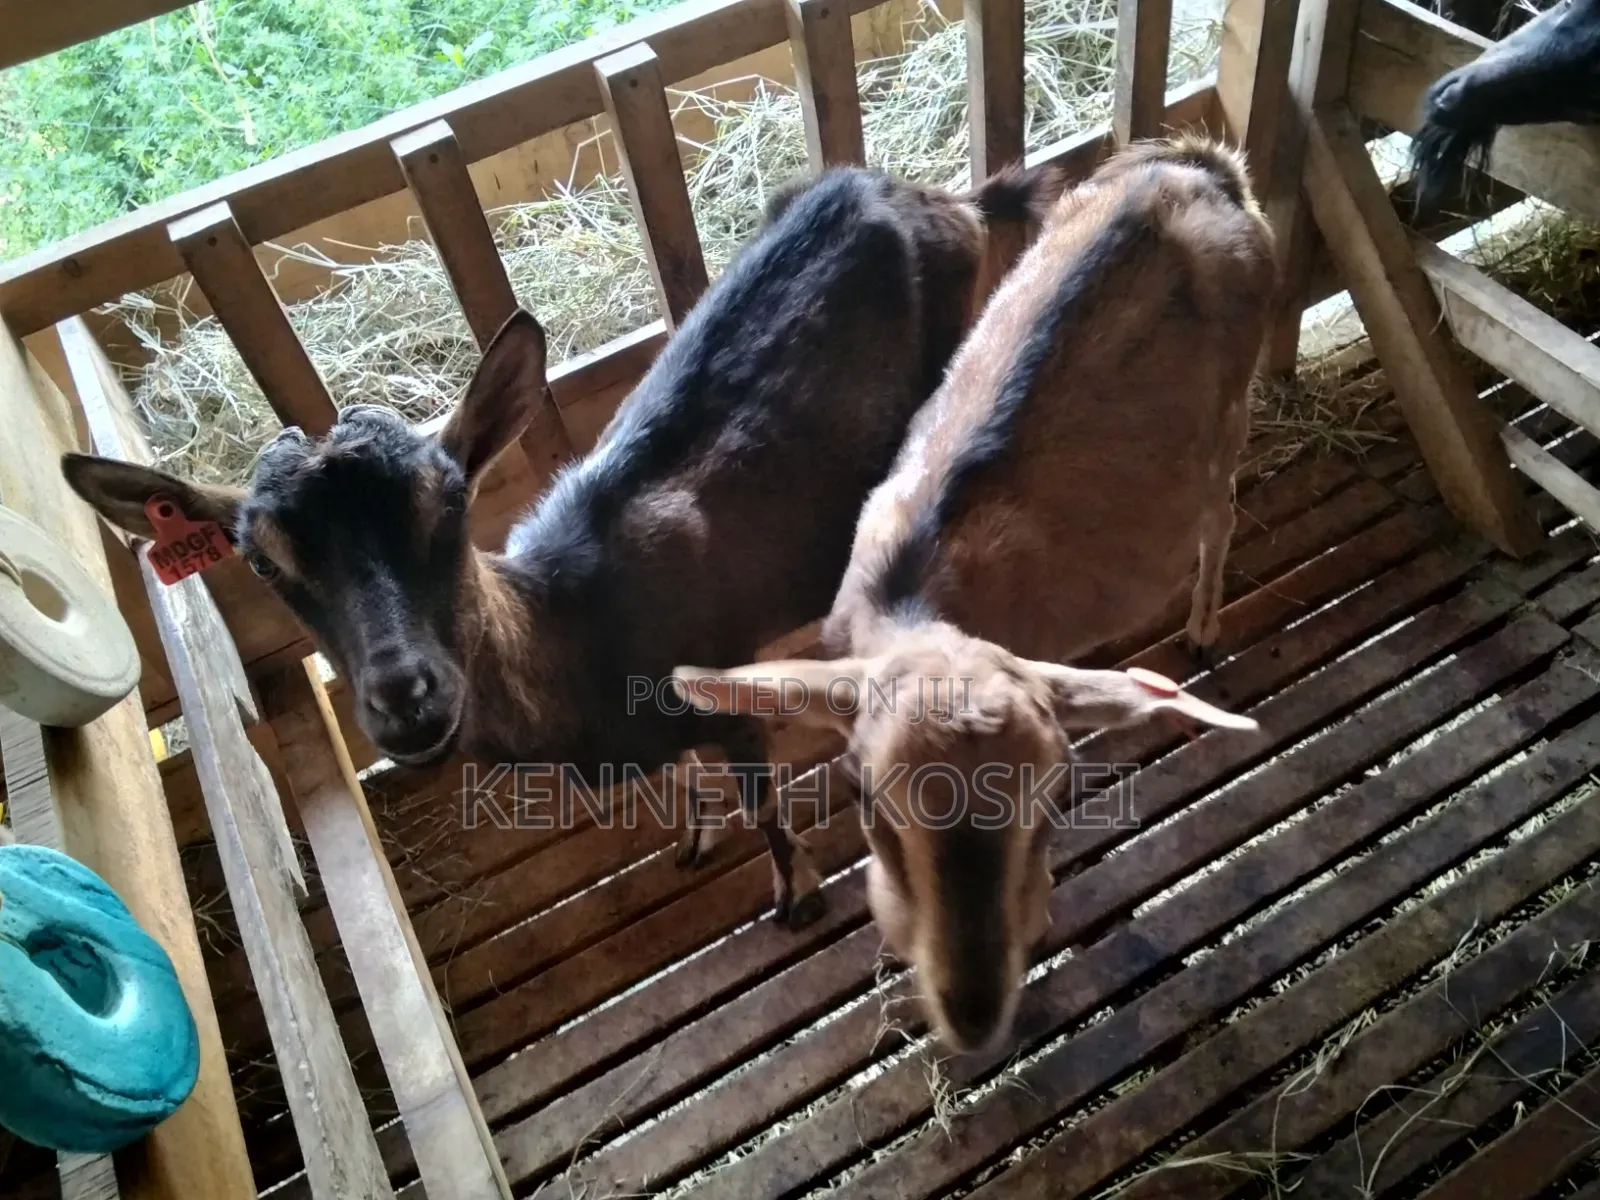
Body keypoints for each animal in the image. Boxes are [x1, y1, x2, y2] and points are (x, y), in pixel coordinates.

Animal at [61, 162, 1062, 930]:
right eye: (264, 561)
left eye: (450, 505)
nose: (408, 700)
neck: (579, 630)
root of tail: (943, 198)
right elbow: (691, 783)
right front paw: (694, 837)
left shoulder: (725, 688)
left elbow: (762, 801)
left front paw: (796, 894)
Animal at [674, 136, 1273, 1049]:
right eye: (864, 797)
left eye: (1057, 791)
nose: (975, 1014)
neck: (918, 604)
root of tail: (1196, 168)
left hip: (1231, 408)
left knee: (1220, 514)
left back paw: (1204, 629)